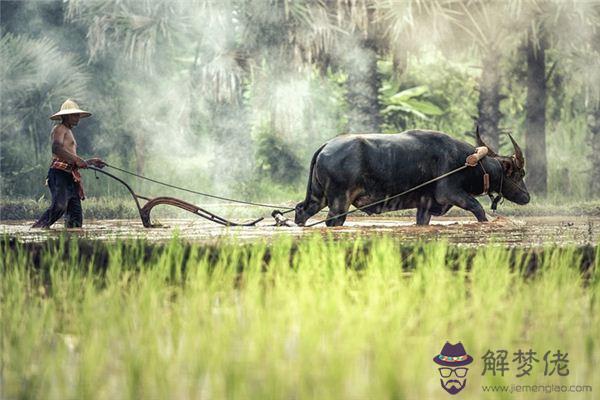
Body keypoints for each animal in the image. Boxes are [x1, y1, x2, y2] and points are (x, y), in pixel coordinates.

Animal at [296, 130, 528, 227]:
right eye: (519, 174)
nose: (527, 197)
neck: (467, 162)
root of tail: (326, 146)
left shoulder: (425, 206)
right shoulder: (452, 194)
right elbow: (479, 210)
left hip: (318, 197)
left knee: (302, 211)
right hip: (339, 202)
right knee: (332, 221)